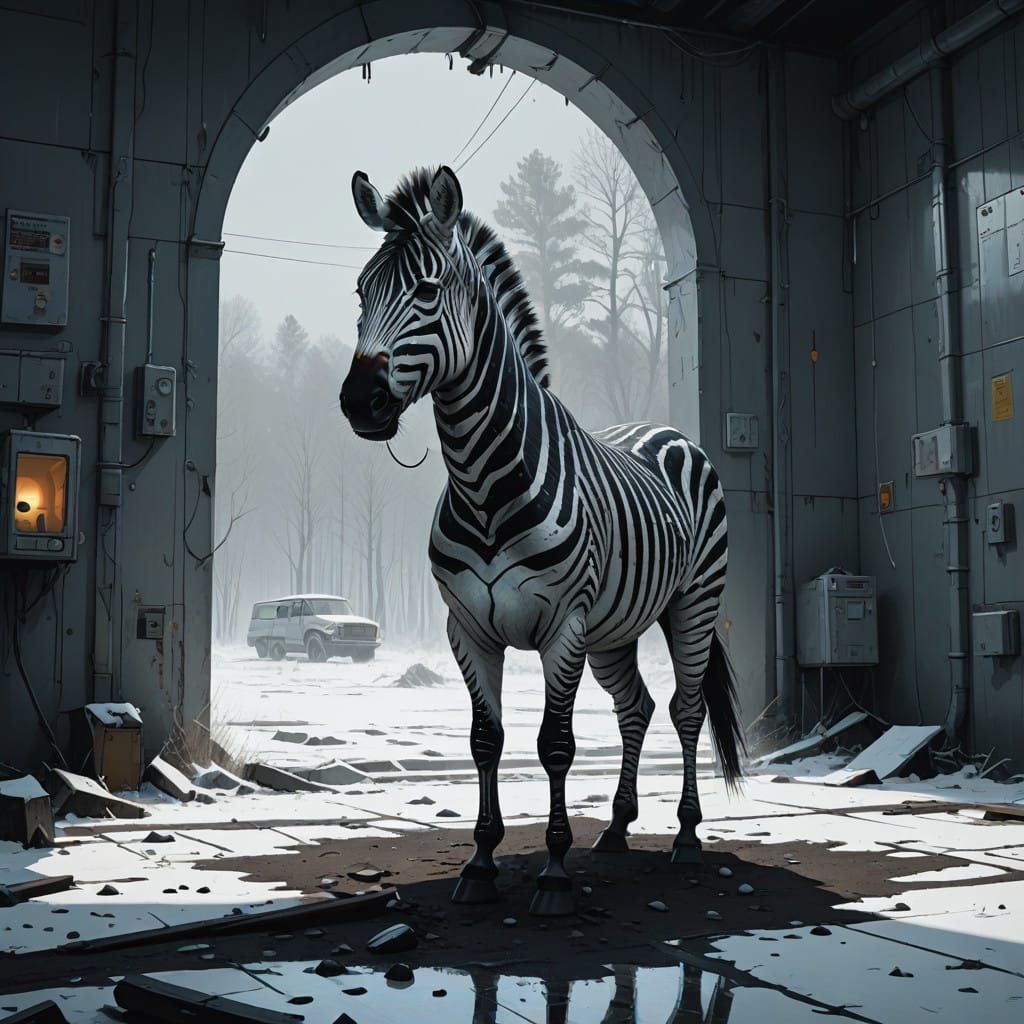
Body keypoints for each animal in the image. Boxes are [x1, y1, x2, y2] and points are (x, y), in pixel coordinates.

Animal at [340, 166, 744, 916]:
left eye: (426, 291)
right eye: (361, 293)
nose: (359, 402)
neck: (483, 482)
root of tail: (665, 430)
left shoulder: (562, 627)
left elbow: (554, 744)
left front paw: (554, 873)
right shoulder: (468, 627)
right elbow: (486, 741)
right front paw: (480, 862)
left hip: (691, 605)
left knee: (686, 708)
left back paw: (684, 835)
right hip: (615, 627)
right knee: (637, 708)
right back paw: (616, 828)